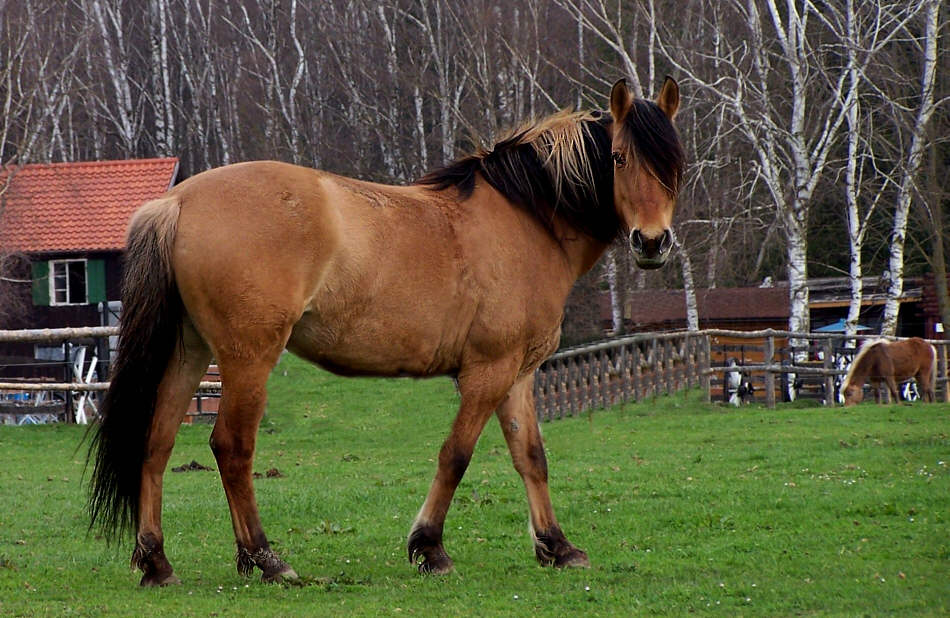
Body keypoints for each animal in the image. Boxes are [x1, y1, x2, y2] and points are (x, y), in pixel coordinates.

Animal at [89, 77, 684, 584]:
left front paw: (557, 547)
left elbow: (531, 457)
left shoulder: (519, 374)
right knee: (231, 448)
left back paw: (157, 561)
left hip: (188, 353)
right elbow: (455, 455)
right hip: (247, 360)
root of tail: (177, 201)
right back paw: (266, 558)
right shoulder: (487, 372)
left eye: (674, 162)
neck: (526, 220)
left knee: (156, 443)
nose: (652, 242)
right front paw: (429, 547)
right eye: (619, 157)